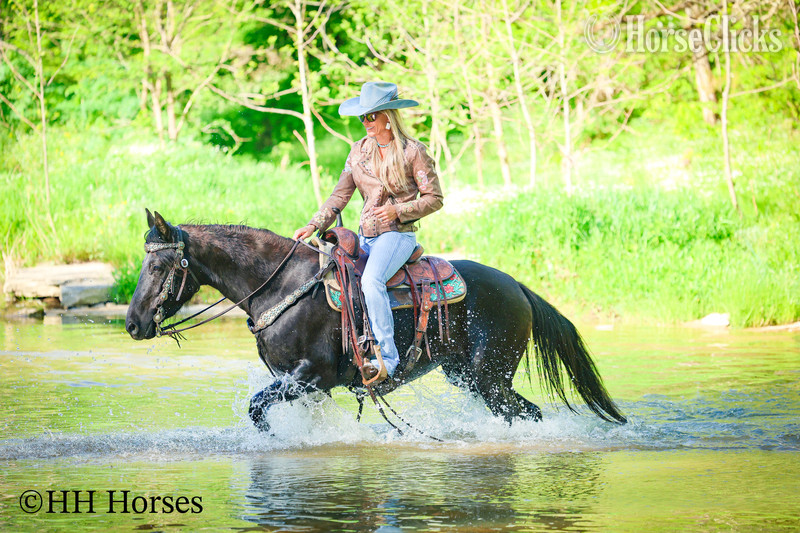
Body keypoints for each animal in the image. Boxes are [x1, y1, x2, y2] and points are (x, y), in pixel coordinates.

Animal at [125, 210, 626, 432]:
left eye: (158, 265)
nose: (132, 324)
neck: (281, 285)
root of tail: (519, 288)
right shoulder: (302, 385)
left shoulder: (310, 376)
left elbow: (256, 408)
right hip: (468, 375)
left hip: (491, 377)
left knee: (528, 414)